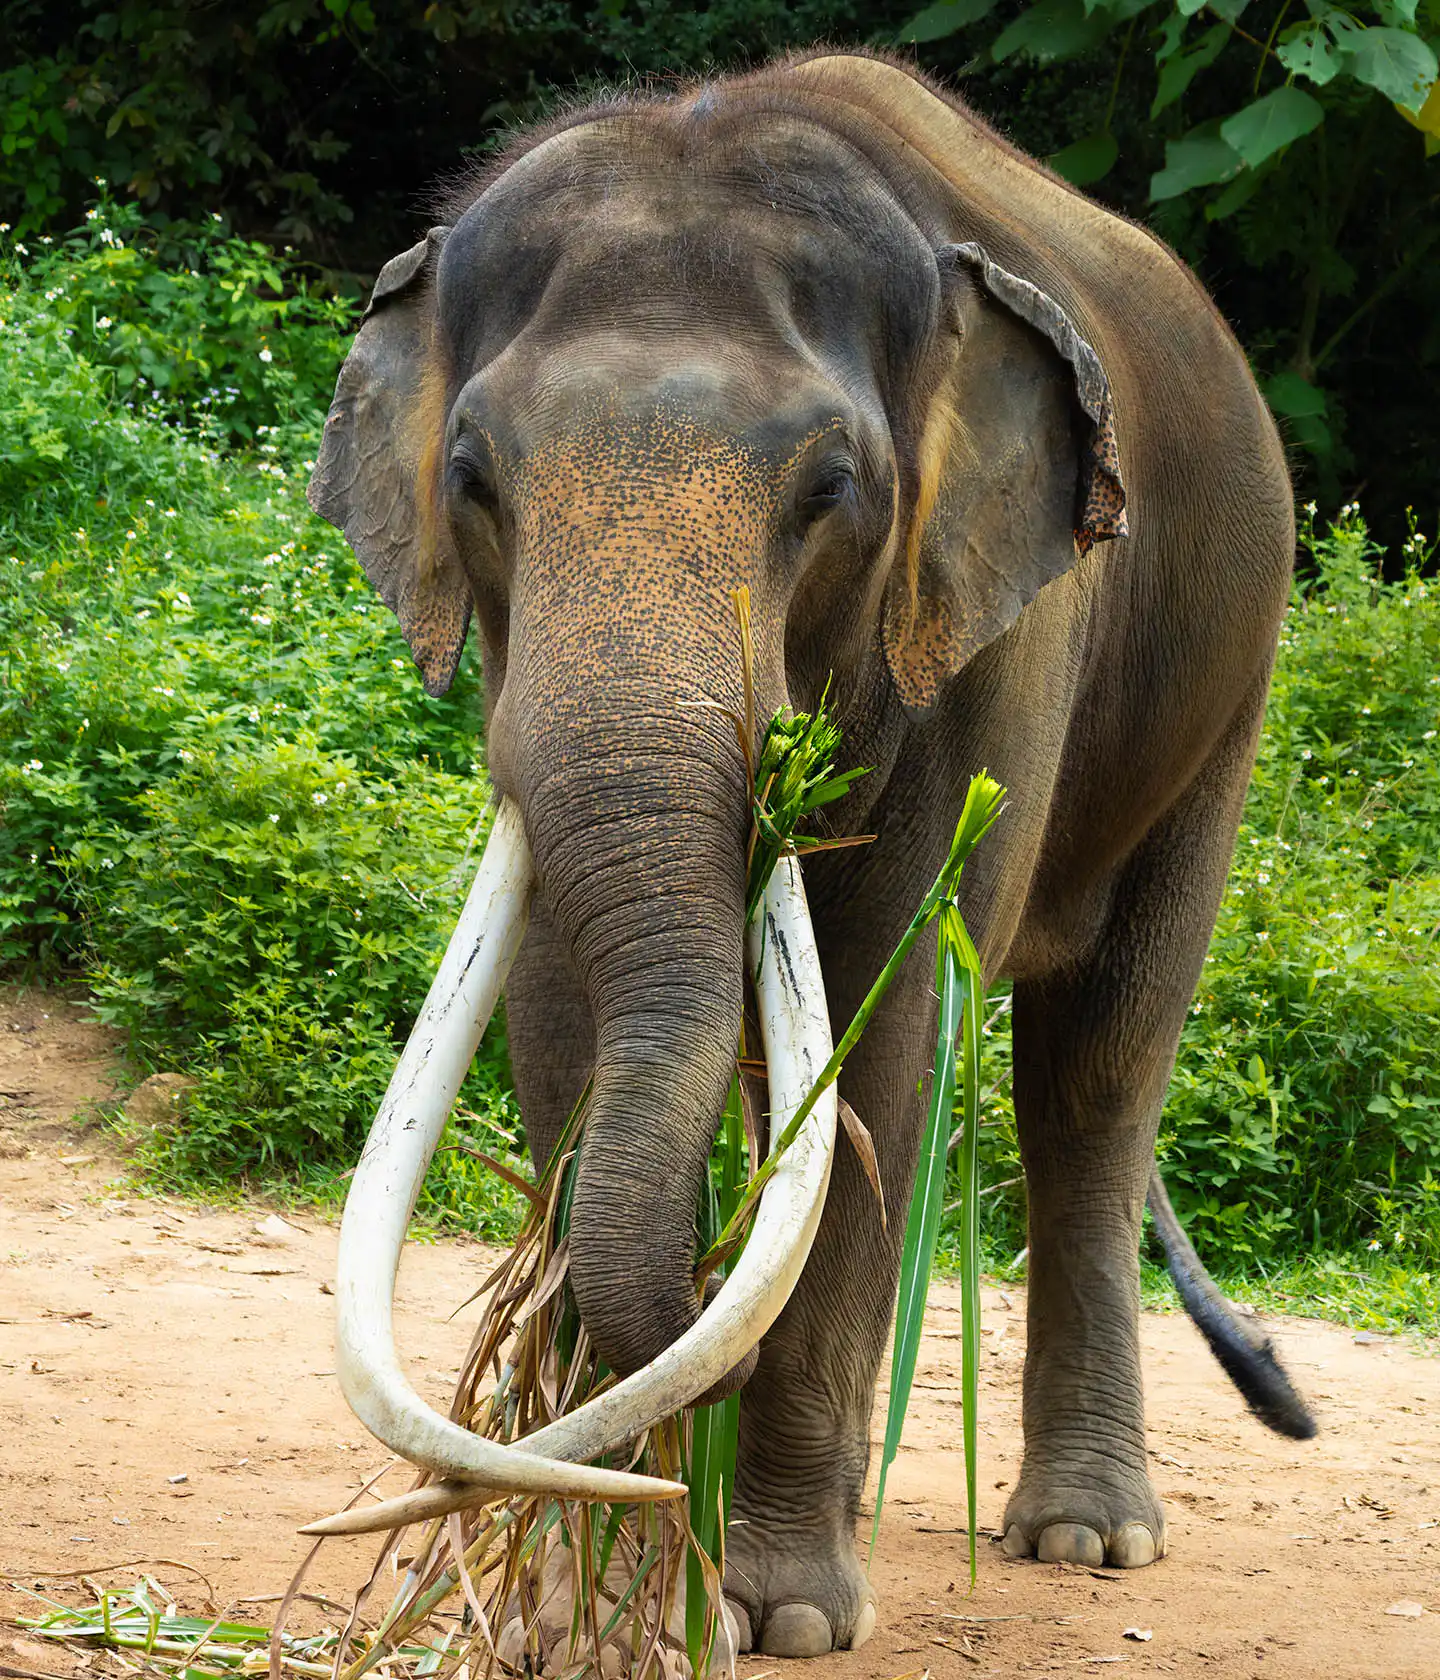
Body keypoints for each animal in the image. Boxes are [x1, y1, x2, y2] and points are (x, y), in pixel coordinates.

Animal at [308, 49, 1316, 1660]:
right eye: (471, 477)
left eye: (831, 488)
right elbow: (556, 1016)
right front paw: (592, 1604)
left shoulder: (999, 634)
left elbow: (879, 1036)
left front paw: (774, 1618)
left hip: (1231, 680)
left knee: (1098, 1071)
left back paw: (1088, 1540)